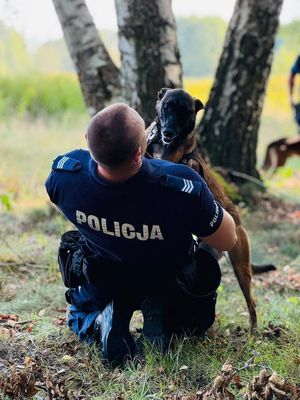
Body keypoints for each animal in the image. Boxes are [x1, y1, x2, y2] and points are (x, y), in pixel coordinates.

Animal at [146, 87, 276, 332]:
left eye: (186, 112)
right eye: (167, 106)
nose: (168, 132)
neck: (159, 142)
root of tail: (239, 223)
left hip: (241, 267)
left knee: (252, 303)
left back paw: (253, 332)